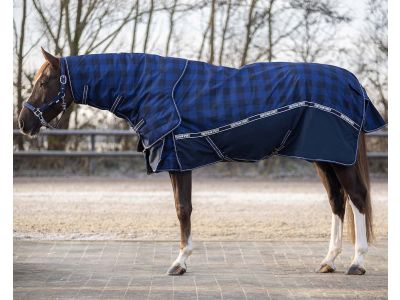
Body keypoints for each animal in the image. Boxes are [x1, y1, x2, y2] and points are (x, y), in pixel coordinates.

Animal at [18, 48, 384, 276]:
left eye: (43, 82)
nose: (23, 123)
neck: (147, 86)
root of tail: (354, 82)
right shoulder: (179, 159)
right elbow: (183, 209)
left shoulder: (178, 159)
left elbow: (183, 210)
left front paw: (180, 262)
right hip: (324, 156)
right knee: (337, 202)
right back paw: (328, 261)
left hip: (338, 158)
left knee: (358, 198)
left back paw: (357, 263)